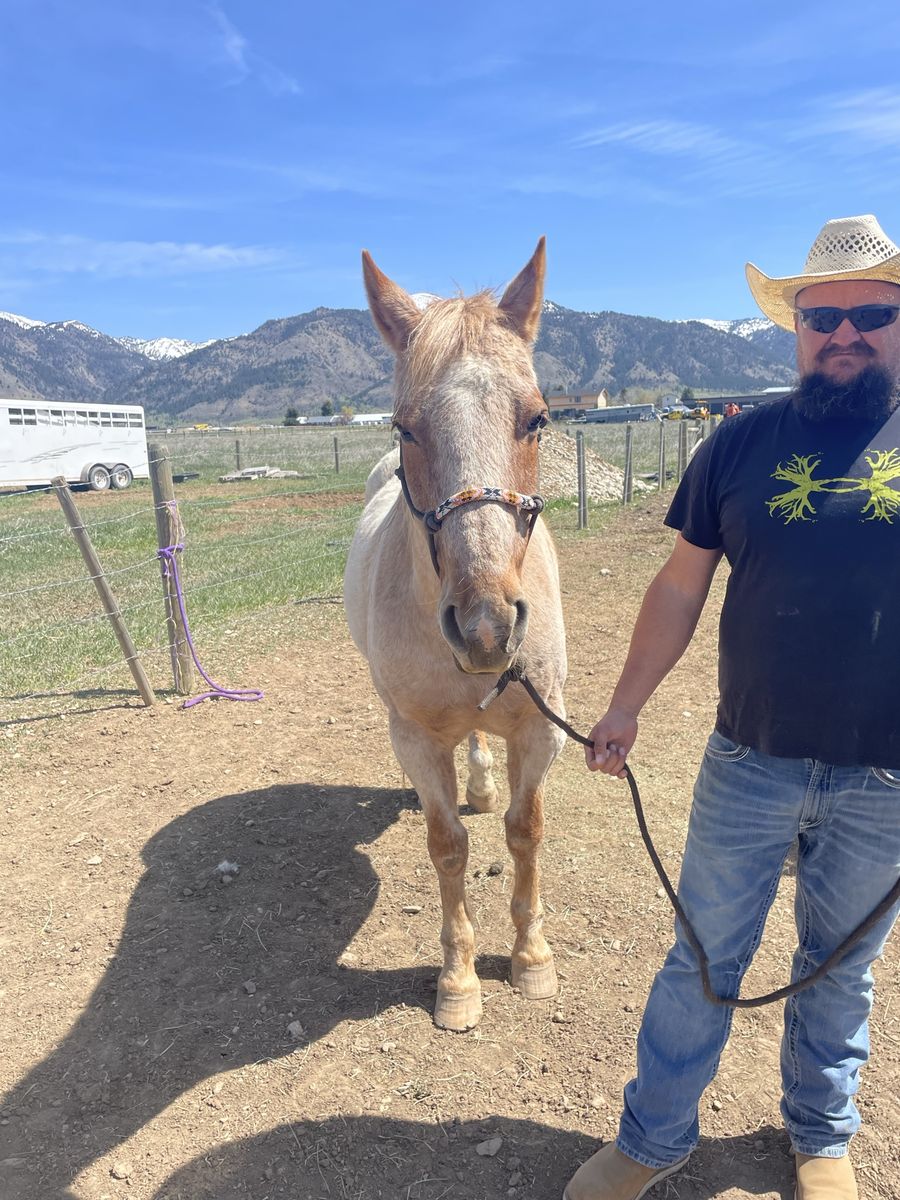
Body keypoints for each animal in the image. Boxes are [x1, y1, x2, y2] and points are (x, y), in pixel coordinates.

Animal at [343, 239, 568, 1031]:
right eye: (405, 427)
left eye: (537, 420)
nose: (486, 627)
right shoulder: (414, 736)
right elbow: (448, 847)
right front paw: (459, 979)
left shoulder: (543, 729)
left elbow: (525, 830)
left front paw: (531, 960)